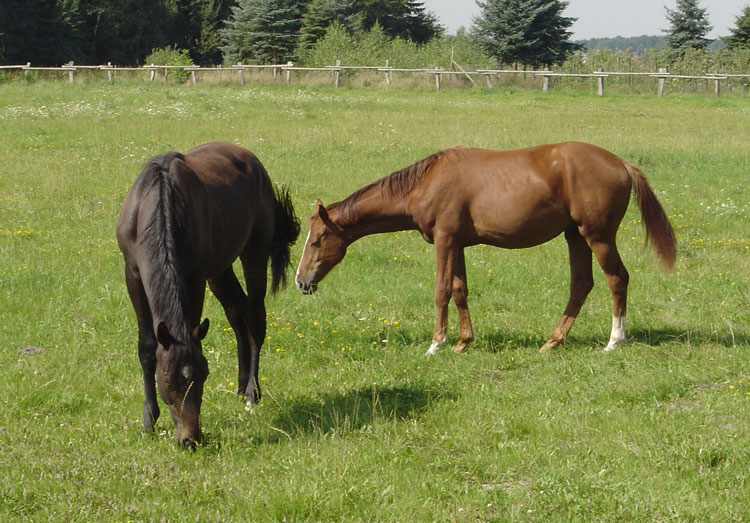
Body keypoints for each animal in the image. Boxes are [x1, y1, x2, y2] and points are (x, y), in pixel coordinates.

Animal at [116, 141, 298, 448]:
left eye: (203, 377)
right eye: (167, 381)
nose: (190, 439)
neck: (158, 203)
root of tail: (254, 163)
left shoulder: (194, 275)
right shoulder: (133, 273)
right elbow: (147, 346)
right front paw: (148, 421)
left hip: (254, 254)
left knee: (254, 319)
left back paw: (251, 393)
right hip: (220, 270)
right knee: (237, 312)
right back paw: (241, 385)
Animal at [296, 142, 680, 356]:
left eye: (316, 240)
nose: (301, 281)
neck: (426, 183)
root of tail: (621, 164)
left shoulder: (445, 240)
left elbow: (441, 291)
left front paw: (437, 344)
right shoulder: (458, 244)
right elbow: (459, 290)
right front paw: (464, 341)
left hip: (597, 236)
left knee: (617, 279)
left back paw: (615, 341)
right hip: (574, 236)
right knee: (581, 284)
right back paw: (553, 341)